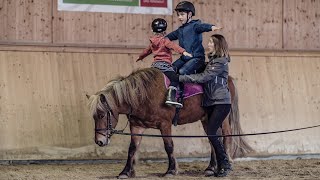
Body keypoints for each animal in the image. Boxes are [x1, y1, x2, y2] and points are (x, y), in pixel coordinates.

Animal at [87, 68, 252, 179]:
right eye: (94, 117)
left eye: (102, 115)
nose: (99, 141)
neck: (143, 95)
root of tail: (228, 79)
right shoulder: (137, 126)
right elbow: (132, 149)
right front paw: (126, 172)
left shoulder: (165, 124)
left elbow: (169, 146)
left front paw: (171, 171)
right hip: (207, 119)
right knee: (213, 140)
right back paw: (211, 168)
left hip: (222, 118)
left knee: (226, 137)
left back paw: (226, 165)